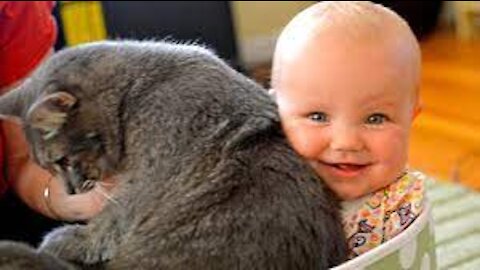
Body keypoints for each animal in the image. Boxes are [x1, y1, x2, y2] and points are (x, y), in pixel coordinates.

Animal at [0, 41, 346, 268]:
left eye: (62, 161)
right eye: (49, 169)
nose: (70, 191)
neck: (136, 93)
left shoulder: (146, 179)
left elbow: (108, 221)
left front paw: (62, 239)